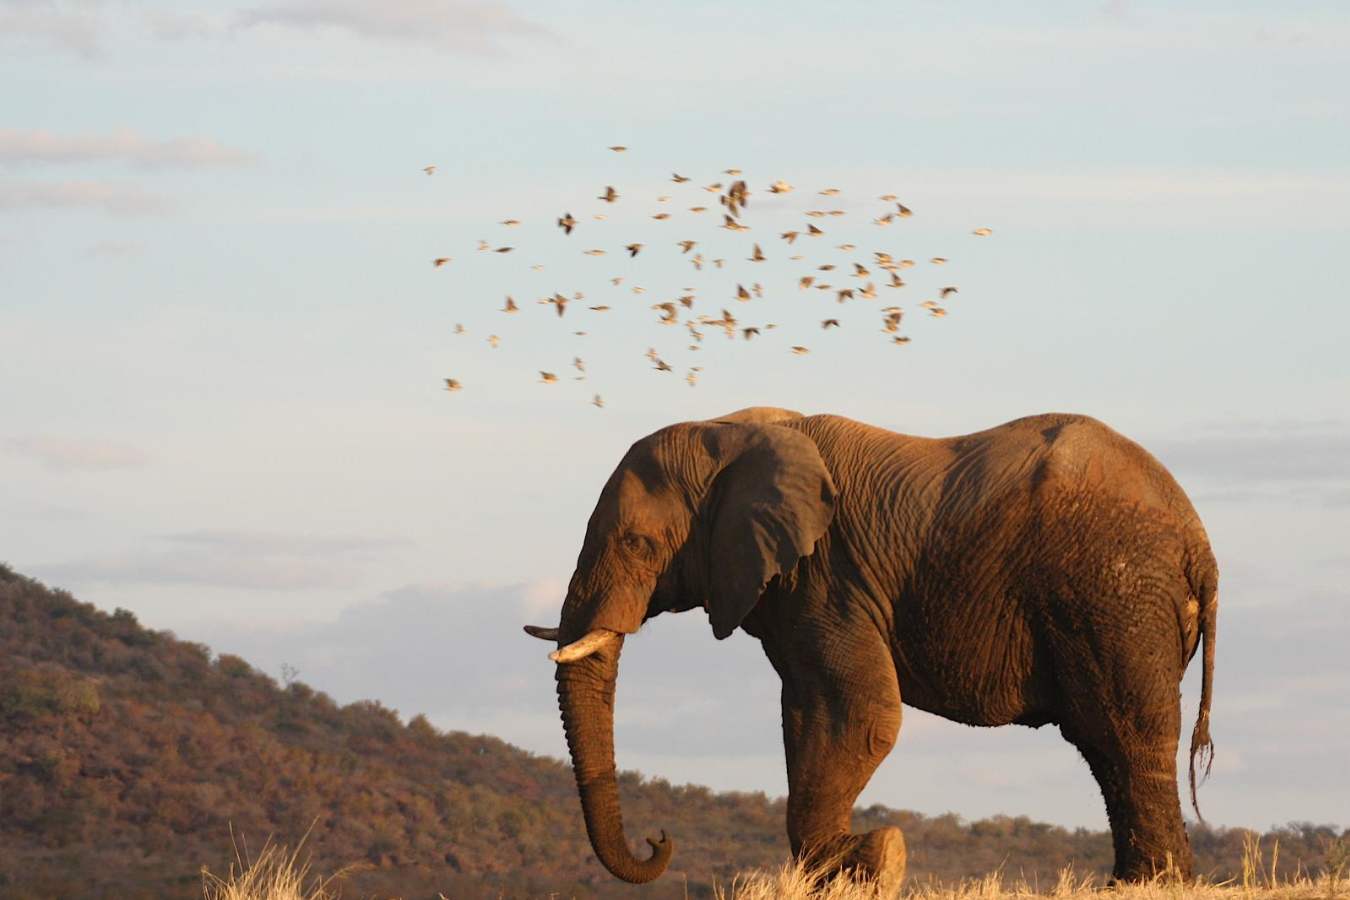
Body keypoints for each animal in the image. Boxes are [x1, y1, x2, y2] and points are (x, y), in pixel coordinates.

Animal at [524, 406, 1218, 892]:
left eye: (638, 545)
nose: (657, 840)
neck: (731, 430)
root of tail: (1200, 544)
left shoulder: (829, 575)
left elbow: (857, 715)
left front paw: (869, 862)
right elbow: (808, 713)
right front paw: (862, 861)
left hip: (1113, 594)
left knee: (1122, 733)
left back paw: (1148, 884)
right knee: (1110, 743)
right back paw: (1135, 882)